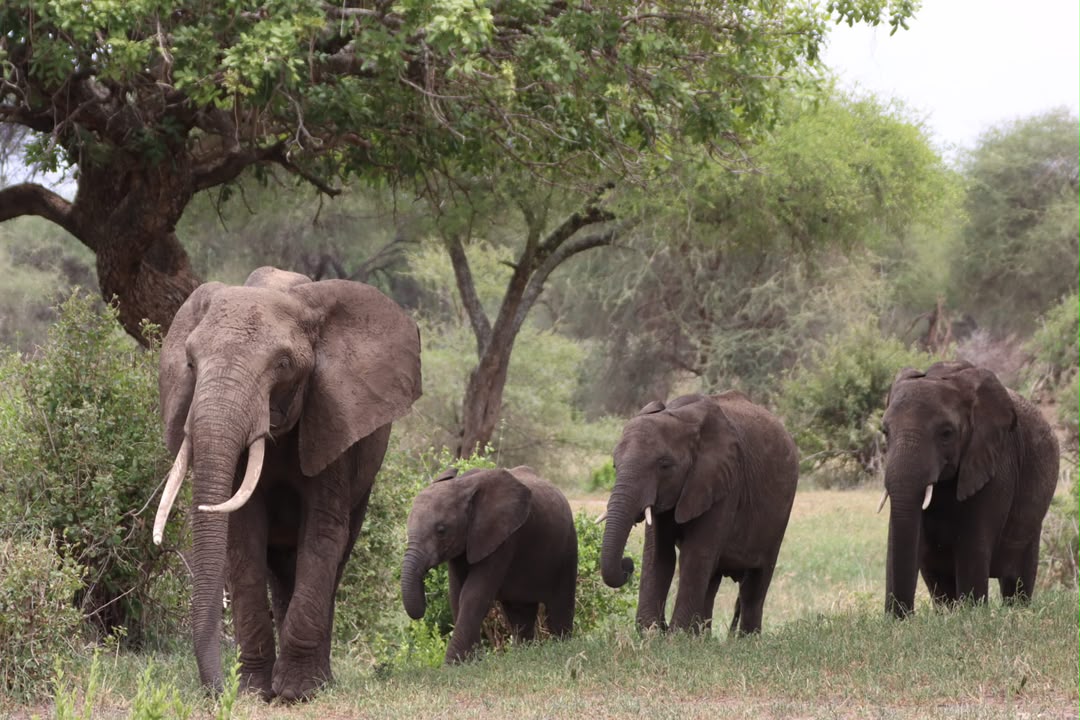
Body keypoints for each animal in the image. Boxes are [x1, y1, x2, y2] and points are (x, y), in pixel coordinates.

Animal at [151, 266, 421, 700]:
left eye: (282, 363)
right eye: (190, 362)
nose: (216, 690)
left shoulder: (331, 418)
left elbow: (322, 532)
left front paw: (297, 692)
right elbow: (243, 536)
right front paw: (252, 692)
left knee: (335, 555)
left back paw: (318, 681)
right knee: (281, 568)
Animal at [401, 466, 578, 663]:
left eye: (441, 531)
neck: (462, 485)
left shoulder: (502, 538)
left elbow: (473, 594)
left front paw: (455, 663)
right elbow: (456, 594)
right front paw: (471, 660)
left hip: (567, 549)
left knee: (560, 605)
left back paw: (561, 644)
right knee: (520, 612)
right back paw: (524, 652)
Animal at [600, 391, 799, 635]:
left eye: (664, 465)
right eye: (614, 466)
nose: (627, 563)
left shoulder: (725, 481)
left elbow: (694, 555)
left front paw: (676, 635)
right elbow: (659, 555)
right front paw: (653, 633)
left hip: (779, 513)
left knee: (755, 585)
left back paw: (746, 639)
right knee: (712, 580)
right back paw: (702, 637)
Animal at [879, 361, 1058, 617]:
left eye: (946, 433)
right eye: (885, 432)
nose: (904, 616)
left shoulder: (996, 462)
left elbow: (972, 544)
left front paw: (971, 614)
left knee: (1018, 576)